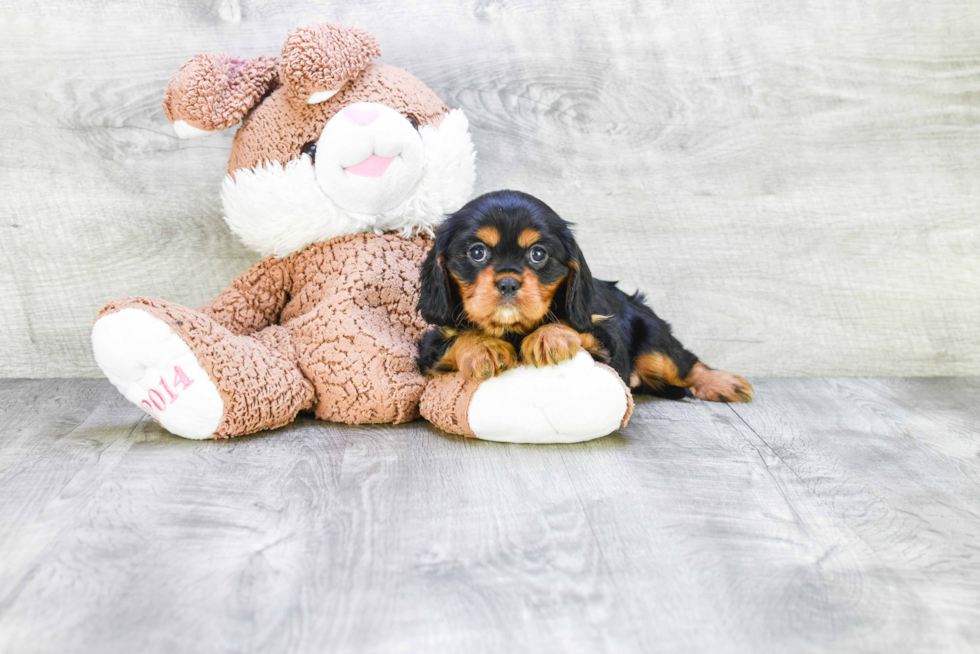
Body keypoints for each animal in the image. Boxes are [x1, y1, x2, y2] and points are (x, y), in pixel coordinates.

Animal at [418, 191, 756, 404]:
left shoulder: (607, 341)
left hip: (654, 345)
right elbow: (457, 338)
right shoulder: (429, 352)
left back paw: (725, 384)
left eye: (538, 254)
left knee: (685, 363)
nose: (508, 283)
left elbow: (576, 324)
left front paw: (549, 336)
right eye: (477, 252)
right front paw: (484, 347)